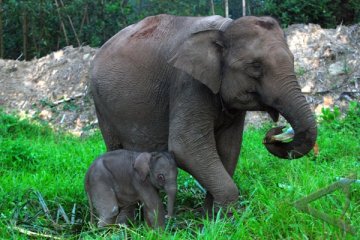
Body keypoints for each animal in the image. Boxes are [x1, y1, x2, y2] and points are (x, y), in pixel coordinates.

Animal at [89, 13, 316, 208]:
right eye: (255, 66)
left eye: (293, 60)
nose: (273, 133)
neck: (224, 28)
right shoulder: (187, 83)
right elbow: (186, 147)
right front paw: (227, 219)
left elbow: (229, 147)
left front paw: (211, 217)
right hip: (102, 106)